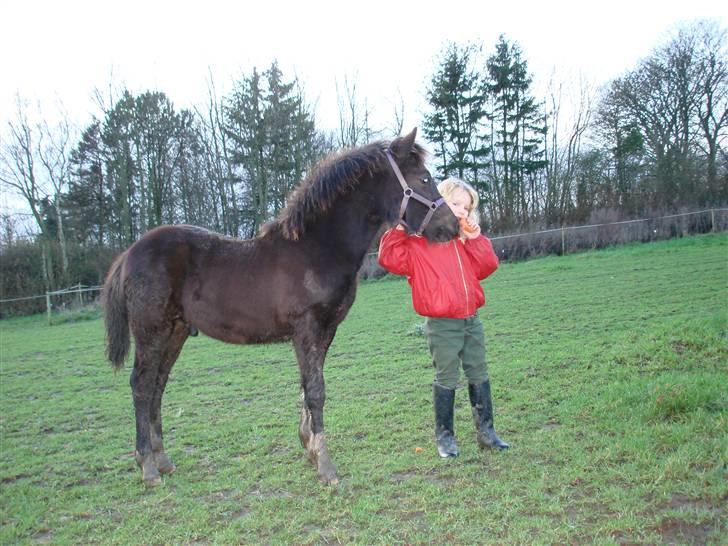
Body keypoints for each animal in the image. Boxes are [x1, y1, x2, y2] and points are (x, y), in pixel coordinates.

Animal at [104, 127, 456, 484]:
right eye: (424, 178)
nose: (452, 227)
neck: (315, 248)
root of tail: (128, 253)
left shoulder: (326, 329)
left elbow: (307, 385)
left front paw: (309, 448)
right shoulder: (307, 327)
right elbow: (316, 390)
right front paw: (326, 466)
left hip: (175, 331)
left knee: (158, 385)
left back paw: (162, 459)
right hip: (151, 330)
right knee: (142, 384)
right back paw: (148, 466)